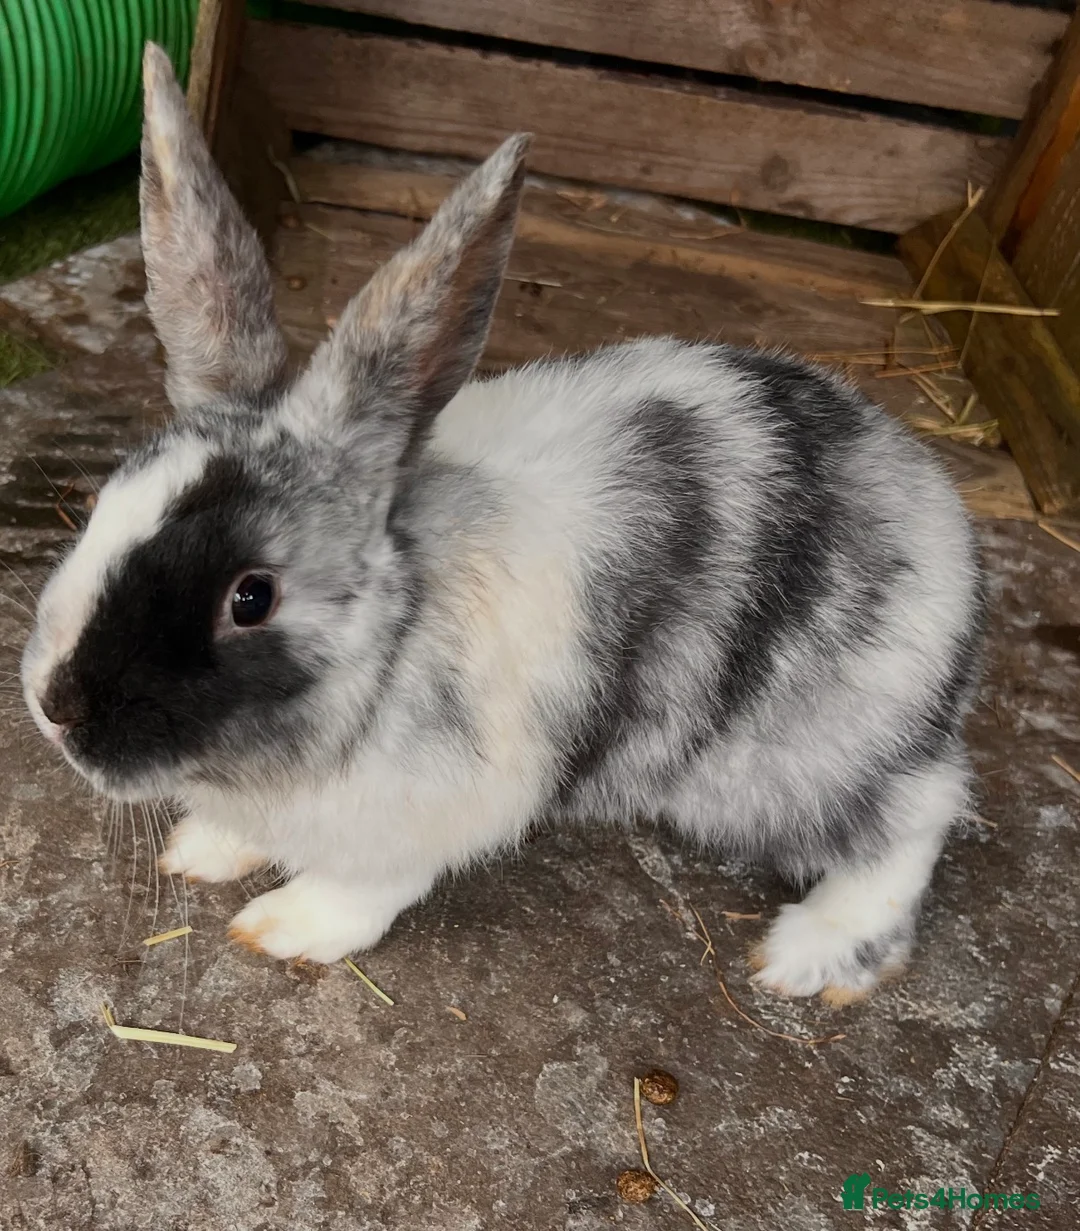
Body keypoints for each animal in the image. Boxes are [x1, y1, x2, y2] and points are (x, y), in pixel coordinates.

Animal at [21, 43, 986, 1004]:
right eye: (107, 502)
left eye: (251, 597)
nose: (55, 705)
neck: (390, 641)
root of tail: (939, 512)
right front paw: (201, 851)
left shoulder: (442, 808)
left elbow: (364, 889)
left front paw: (282, 928)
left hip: (803, 753)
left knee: (918, 815)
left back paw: (808, 956)